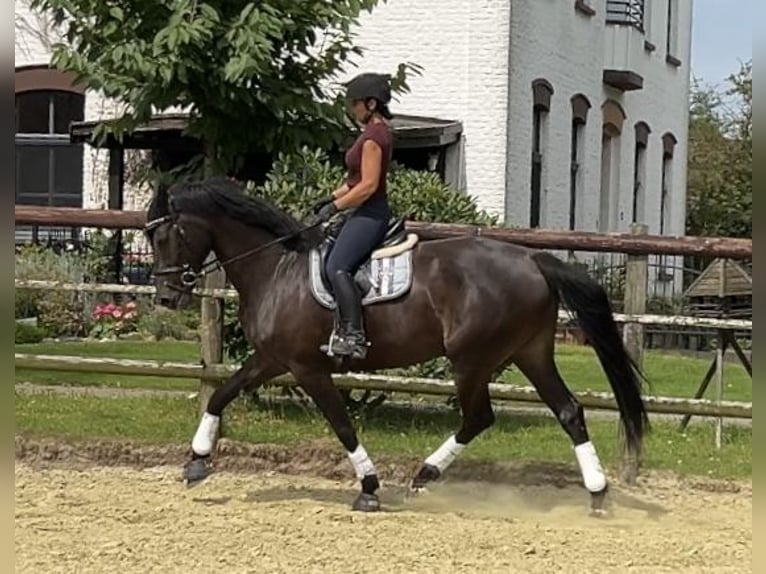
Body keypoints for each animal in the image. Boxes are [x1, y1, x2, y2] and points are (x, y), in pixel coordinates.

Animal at [147, 178, 652, 516]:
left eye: (166, 235)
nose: (167, 297)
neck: (275, 268)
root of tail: (532, 258)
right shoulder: (273, 359)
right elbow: (220, 393)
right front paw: (196, 462)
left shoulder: (308, 368)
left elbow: (342, 425)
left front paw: (369, 488)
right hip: (530, 353)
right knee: (568, 411)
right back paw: (598, 496)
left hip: (471, 359)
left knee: (479, 417)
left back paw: (424, 475)